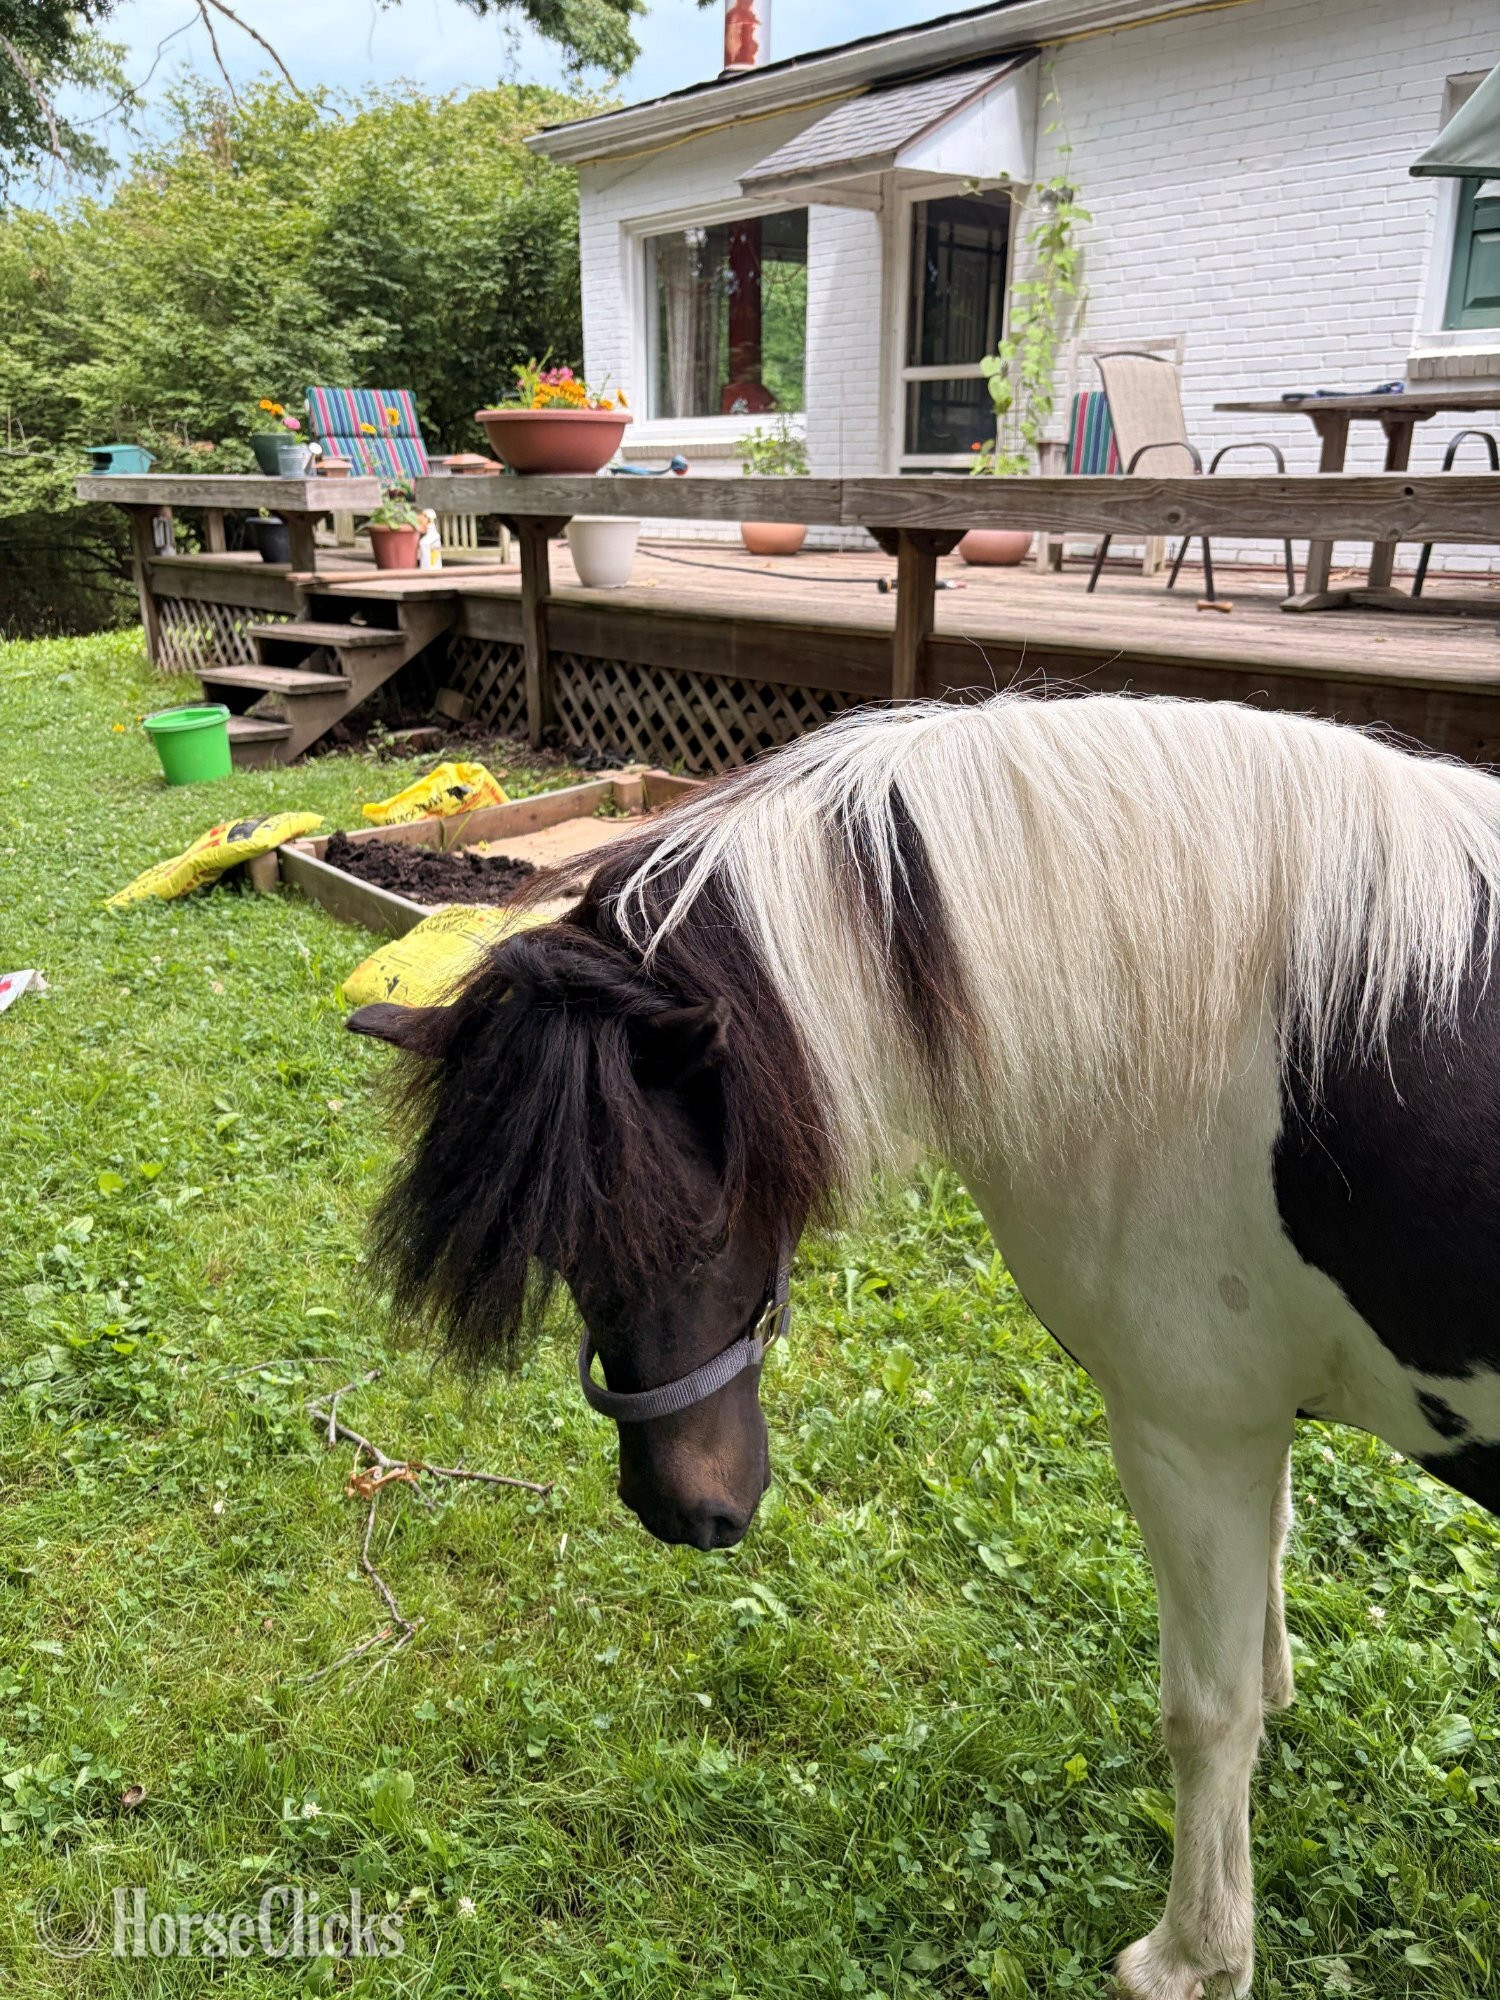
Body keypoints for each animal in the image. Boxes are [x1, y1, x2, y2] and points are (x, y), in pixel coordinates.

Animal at [348, 693, 1500, 2000]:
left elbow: (1206, 1713)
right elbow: (1263, 1620)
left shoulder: (1191, 1433)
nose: (675, 1507)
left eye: (685, 1219)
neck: (1212, 1015)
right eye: (563, 1246)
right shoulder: (1251, 1424)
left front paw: (1195, 1954)